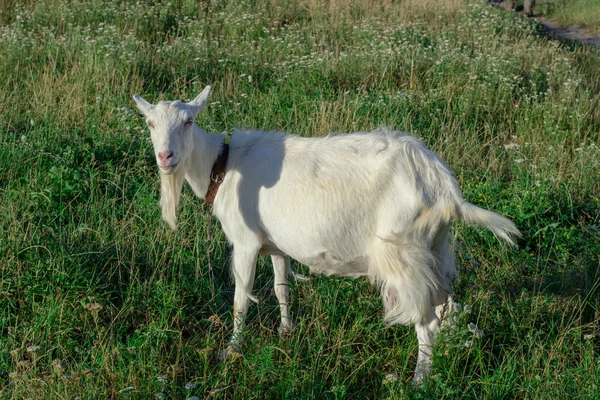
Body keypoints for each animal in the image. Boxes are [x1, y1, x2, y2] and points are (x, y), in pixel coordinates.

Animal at [134, 86, 516, 382]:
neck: (223, 166)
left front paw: (230, 352)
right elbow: (281, 288)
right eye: (150, 123)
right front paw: (286, 331)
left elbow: (241, 298)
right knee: (444, 304)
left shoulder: (245, 241)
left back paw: (418, 381)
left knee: (427, 322)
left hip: (403, 252)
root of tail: (444, 189)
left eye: (189, 121)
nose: (165, 156)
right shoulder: (275, 244)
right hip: (435, 248)